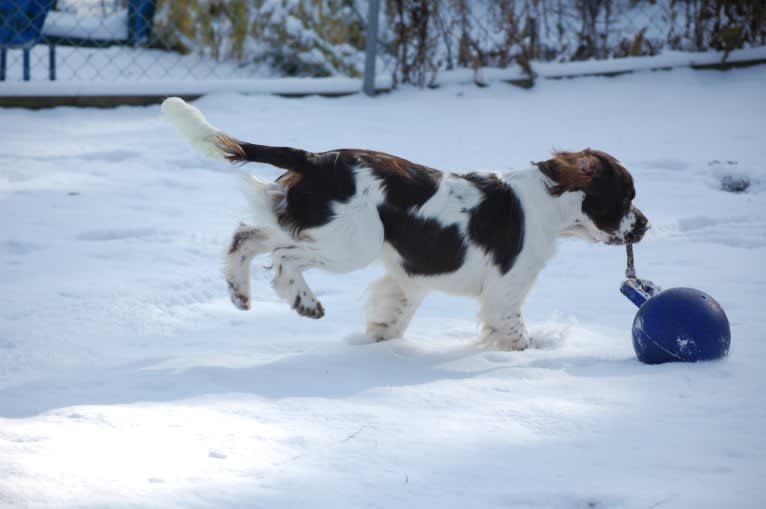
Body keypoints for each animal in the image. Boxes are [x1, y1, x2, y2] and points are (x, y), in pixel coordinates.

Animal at [162, 97, 648, 350]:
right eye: (627, 196)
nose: (645, 226)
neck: (547, 204)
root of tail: (316, 160)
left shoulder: (410, 276)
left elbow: (395, 314)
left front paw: (378, 341)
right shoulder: (505, 290)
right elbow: (515, 332)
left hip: (309, 223)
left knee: (244, 236)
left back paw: (239, 293)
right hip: (350, 242)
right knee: (284, 260)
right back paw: (306, 302)